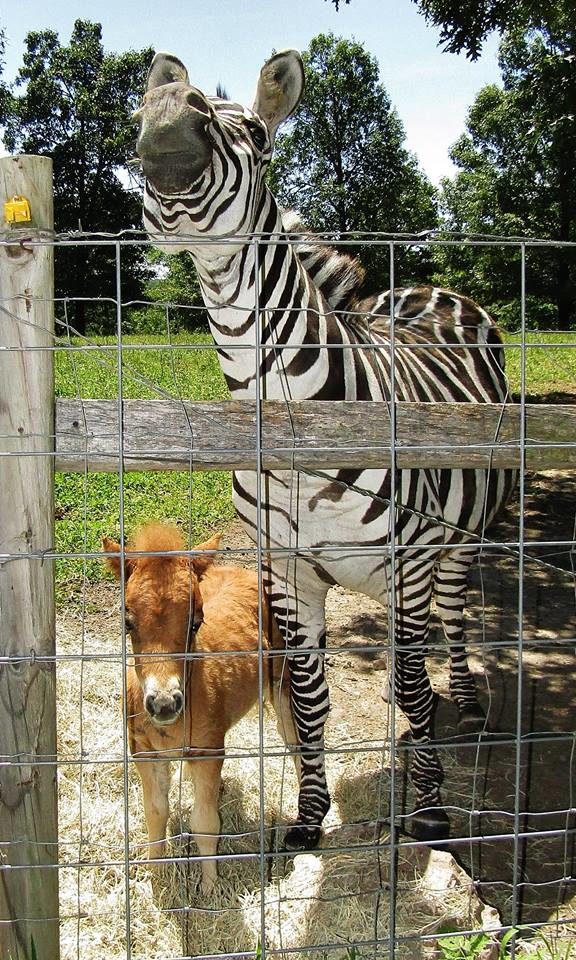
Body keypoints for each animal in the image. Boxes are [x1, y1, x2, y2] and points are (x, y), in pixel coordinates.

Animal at [135, 49, 516, 847]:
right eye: (142, 115)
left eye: (254, 133)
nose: (167, 112)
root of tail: (432, 289)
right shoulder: (290, 576)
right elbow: (310, 701)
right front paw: (311, 817)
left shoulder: (405, 567)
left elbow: (413, 689)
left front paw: (429, 813)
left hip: (461, 538)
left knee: (453, 619)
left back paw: (468, 707)